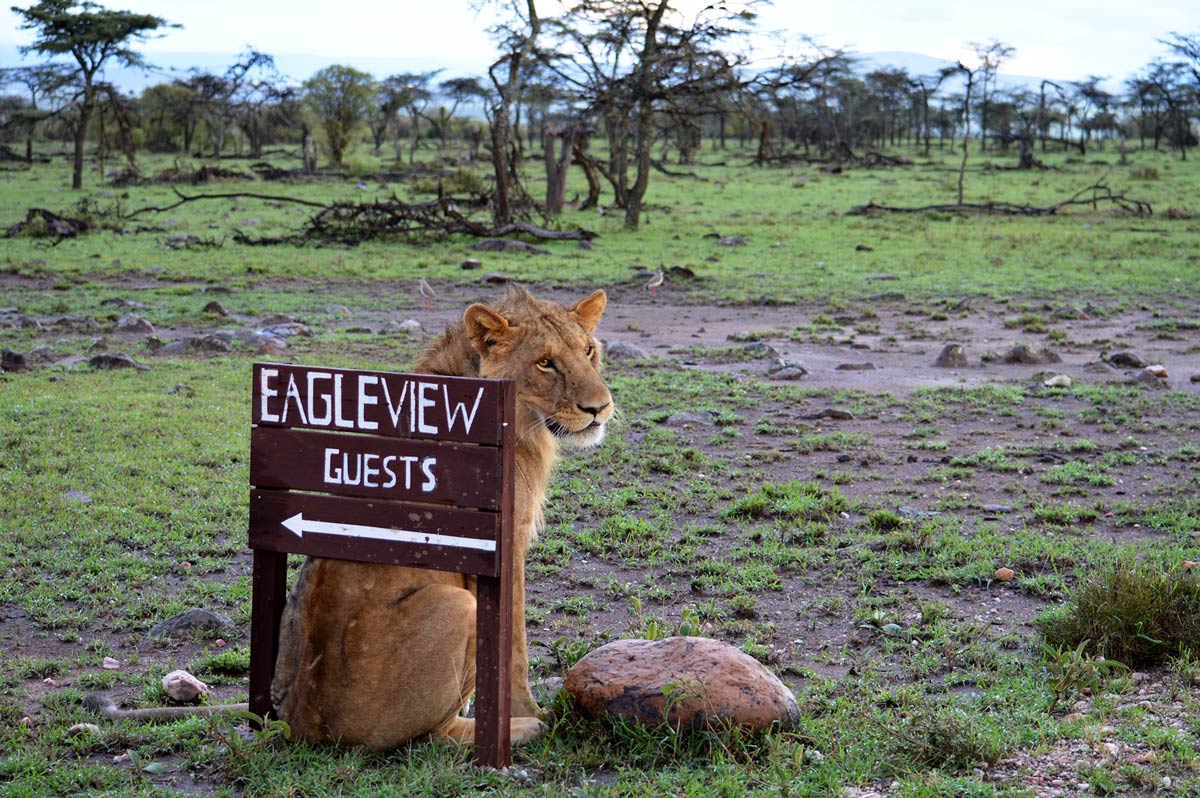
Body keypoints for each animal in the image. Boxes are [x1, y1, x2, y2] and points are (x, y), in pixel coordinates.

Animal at [89, 286, 614, 749]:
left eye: (589, 352)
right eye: (545, 362)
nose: (600, 408)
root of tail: (296, 720)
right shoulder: (506, 544)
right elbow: (516, 649)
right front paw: (532, 710)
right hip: (457, 606)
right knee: (434, 736)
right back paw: (521, 730)